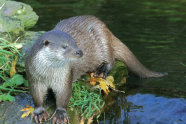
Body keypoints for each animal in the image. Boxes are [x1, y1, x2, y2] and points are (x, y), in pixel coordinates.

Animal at [25, 15, 166, 123]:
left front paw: (60, 113)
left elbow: (64, 95)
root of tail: (107, 30)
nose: (79, 51)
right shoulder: (34, 77)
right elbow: (36, 95)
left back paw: (100, 71)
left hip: (103, 41)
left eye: (75, 43)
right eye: (64, 46)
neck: (48, 73)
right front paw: (39, 111)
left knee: (111, 60)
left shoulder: (65, 78)